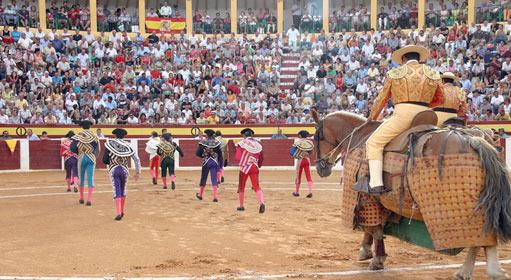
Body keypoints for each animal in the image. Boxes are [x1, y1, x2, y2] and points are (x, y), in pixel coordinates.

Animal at [310, 109, 511, 280]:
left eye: (316, 137)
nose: (321, 168)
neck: (361, 137)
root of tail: (475, 141)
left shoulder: (367, 196)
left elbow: (375, 228)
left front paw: (375, 259)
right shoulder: (381, 201)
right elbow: (374, 227)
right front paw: (367, 252)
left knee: (481, 238)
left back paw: (481, 271)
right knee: (482, 236)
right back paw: (476, 271)